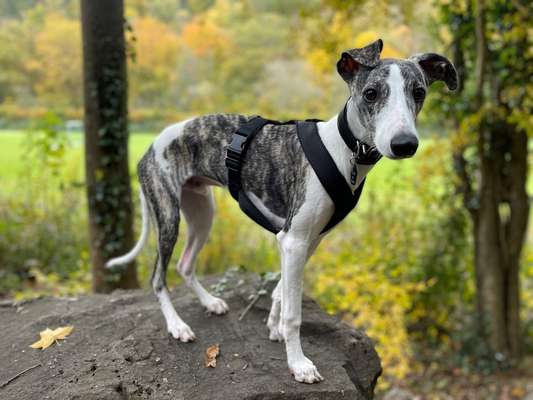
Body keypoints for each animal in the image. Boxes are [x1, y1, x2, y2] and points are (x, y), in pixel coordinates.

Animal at [106, 39, 456, 382]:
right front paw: (298, 364)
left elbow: (280, 292)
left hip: (202, 212)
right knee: (157, 277)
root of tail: (150, 147)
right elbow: (294, 313)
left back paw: (210, 302)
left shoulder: (306, 240)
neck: (342, 151)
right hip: (169, 216)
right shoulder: (294, 240)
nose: (404, 144)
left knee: (185, 264)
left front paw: (274, 328)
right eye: (371, 93)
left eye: (419, 92)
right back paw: (177, 326)